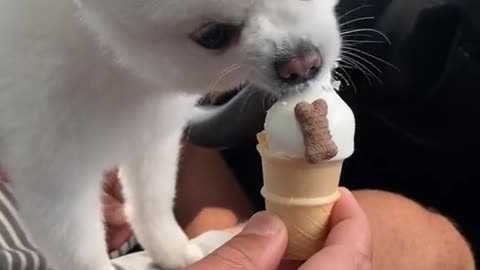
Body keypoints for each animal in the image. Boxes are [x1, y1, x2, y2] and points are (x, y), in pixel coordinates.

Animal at [0, 0, 342, 270]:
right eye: (213, 35)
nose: (302, 64)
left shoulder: (153, 136)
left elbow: (152, 201)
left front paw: (172, 249)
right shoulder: (56, 175)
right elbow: (79, 251)